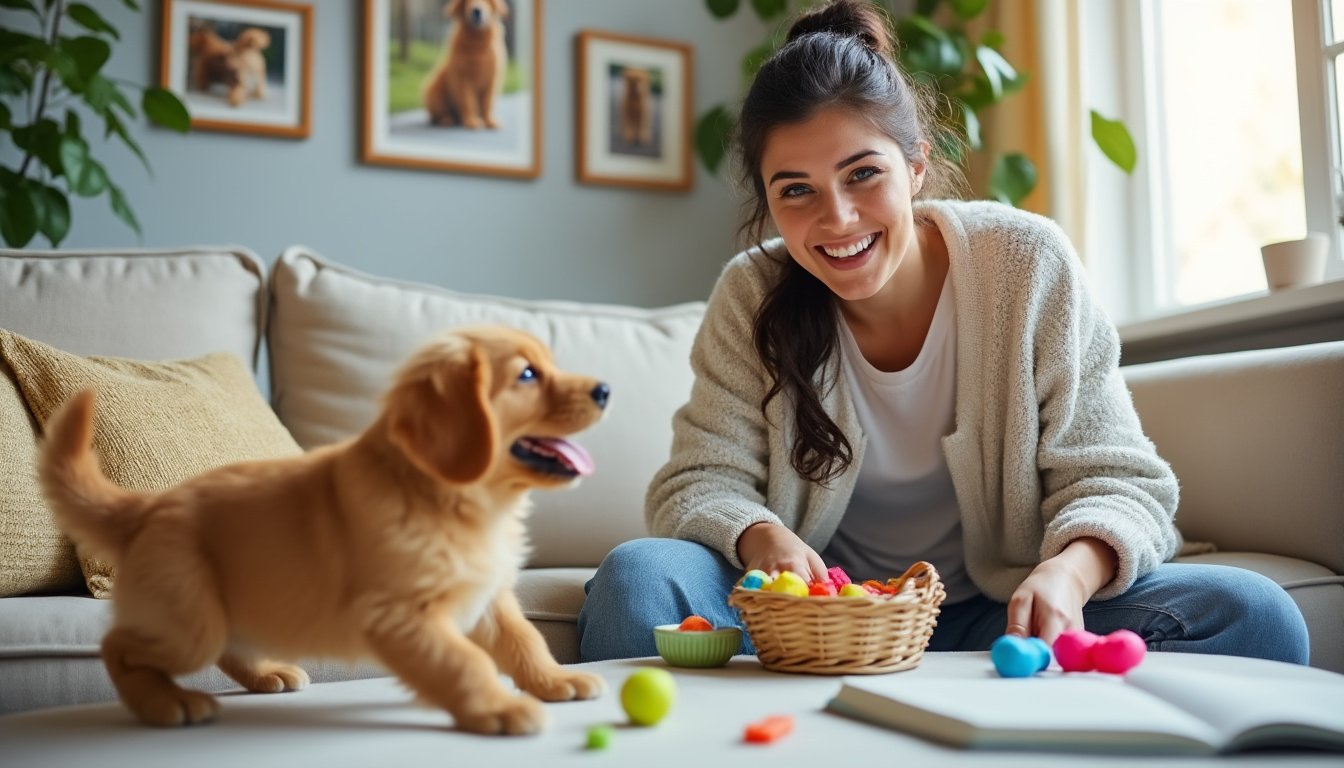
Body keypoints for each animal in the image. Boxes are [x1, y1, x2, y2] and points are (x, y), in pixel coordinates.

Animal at [39, 328, 610, 737]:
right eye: (528, 374)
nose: (605, 388)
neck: (457, 499)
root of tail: (151, 506)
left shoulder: (488, 596)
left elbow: (524, 640)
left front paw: (555, 681)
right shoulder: (399, 614)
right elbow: (463, 661)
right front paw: (498, 708)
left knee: (223, 647)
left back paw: (266, 673)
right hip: (190, 621)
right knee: (117, 645)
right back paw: (166, 702)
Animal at [422, 0, 505, 129]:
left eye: (487, 1)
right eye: (467, 1)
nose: (476, 11)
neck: (477, 41)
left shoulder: (491, 80)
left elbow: (487, 103)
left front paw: (489, 121)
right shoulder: (463, 79)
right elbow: (468, 102)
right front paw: (471, 121)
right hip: (435, 92)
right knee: (438, 115)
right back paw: (447, 120)